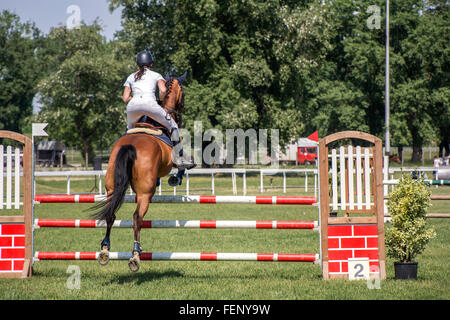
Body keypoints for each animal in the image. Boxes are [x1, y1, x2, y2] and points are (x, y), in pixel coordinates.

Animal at [92, 73, 187, 272]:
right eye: (182, 94)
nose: (181, 113)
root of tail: (130, 146)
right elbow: (181, 166)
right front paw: (176, 178)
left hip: (111, 187)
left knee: (111, 214)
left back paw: (105, 250)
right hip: (144, 193)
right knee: (137, 218)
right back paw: (135, 255)